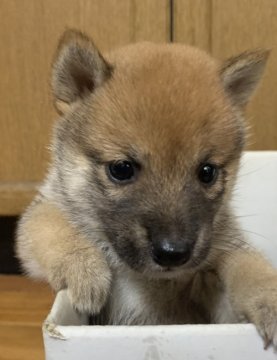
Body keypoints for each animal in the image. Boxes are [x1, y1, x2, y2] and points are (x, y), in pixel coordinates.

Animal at [15, 30, 276, 348]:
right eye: (121, 169)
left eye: (207, 172)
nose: (173, 253)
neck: (139, 277)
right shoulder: (47, 207)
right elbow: (49, 224)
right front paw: (85, 271)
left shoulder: (217, 264)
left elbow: (247, 265)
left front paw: (269, 299)